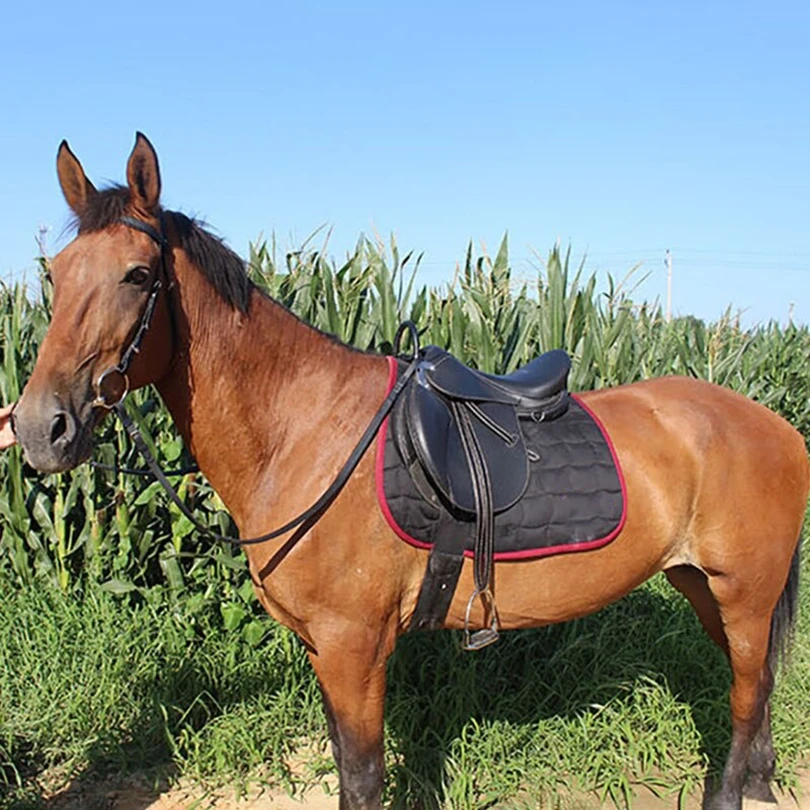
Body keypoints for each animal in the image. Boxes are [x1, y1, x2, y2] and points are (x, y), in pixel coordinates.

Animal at [9, 134, 808, 810]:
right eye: (54, 274)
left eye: (138, 274)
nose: (39, 427)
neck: (304, 430)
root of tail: (776, 426)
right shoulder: (326, 650)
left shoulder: (354, 649)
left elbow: (363, 780)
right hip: (708, 588)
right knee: (759, 684)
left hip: (743, 594)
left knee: (744, 697)